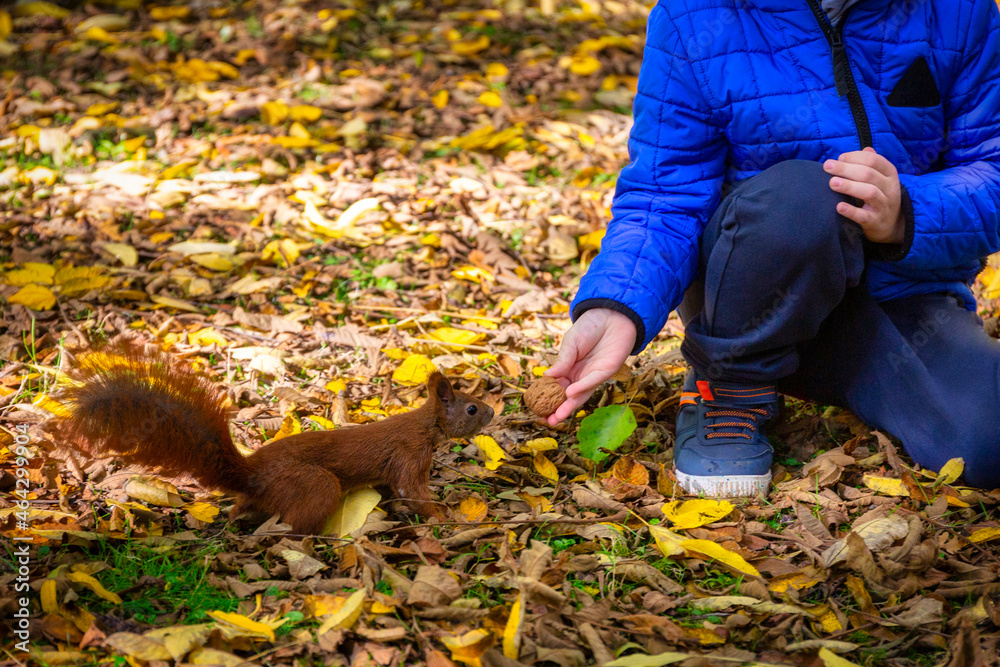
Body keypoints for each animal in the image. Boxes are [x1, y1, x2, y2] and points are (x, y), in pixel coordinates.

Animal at [52, 340, 494, 532]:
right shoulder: (409, 456)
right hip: (314, 485)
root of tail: (251, 476)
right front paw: (443, 515)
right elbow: (412, 492)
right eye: (471, 408)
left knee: (242, 509)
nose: (492, 412)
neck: (424, 425)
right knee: (295, 526)